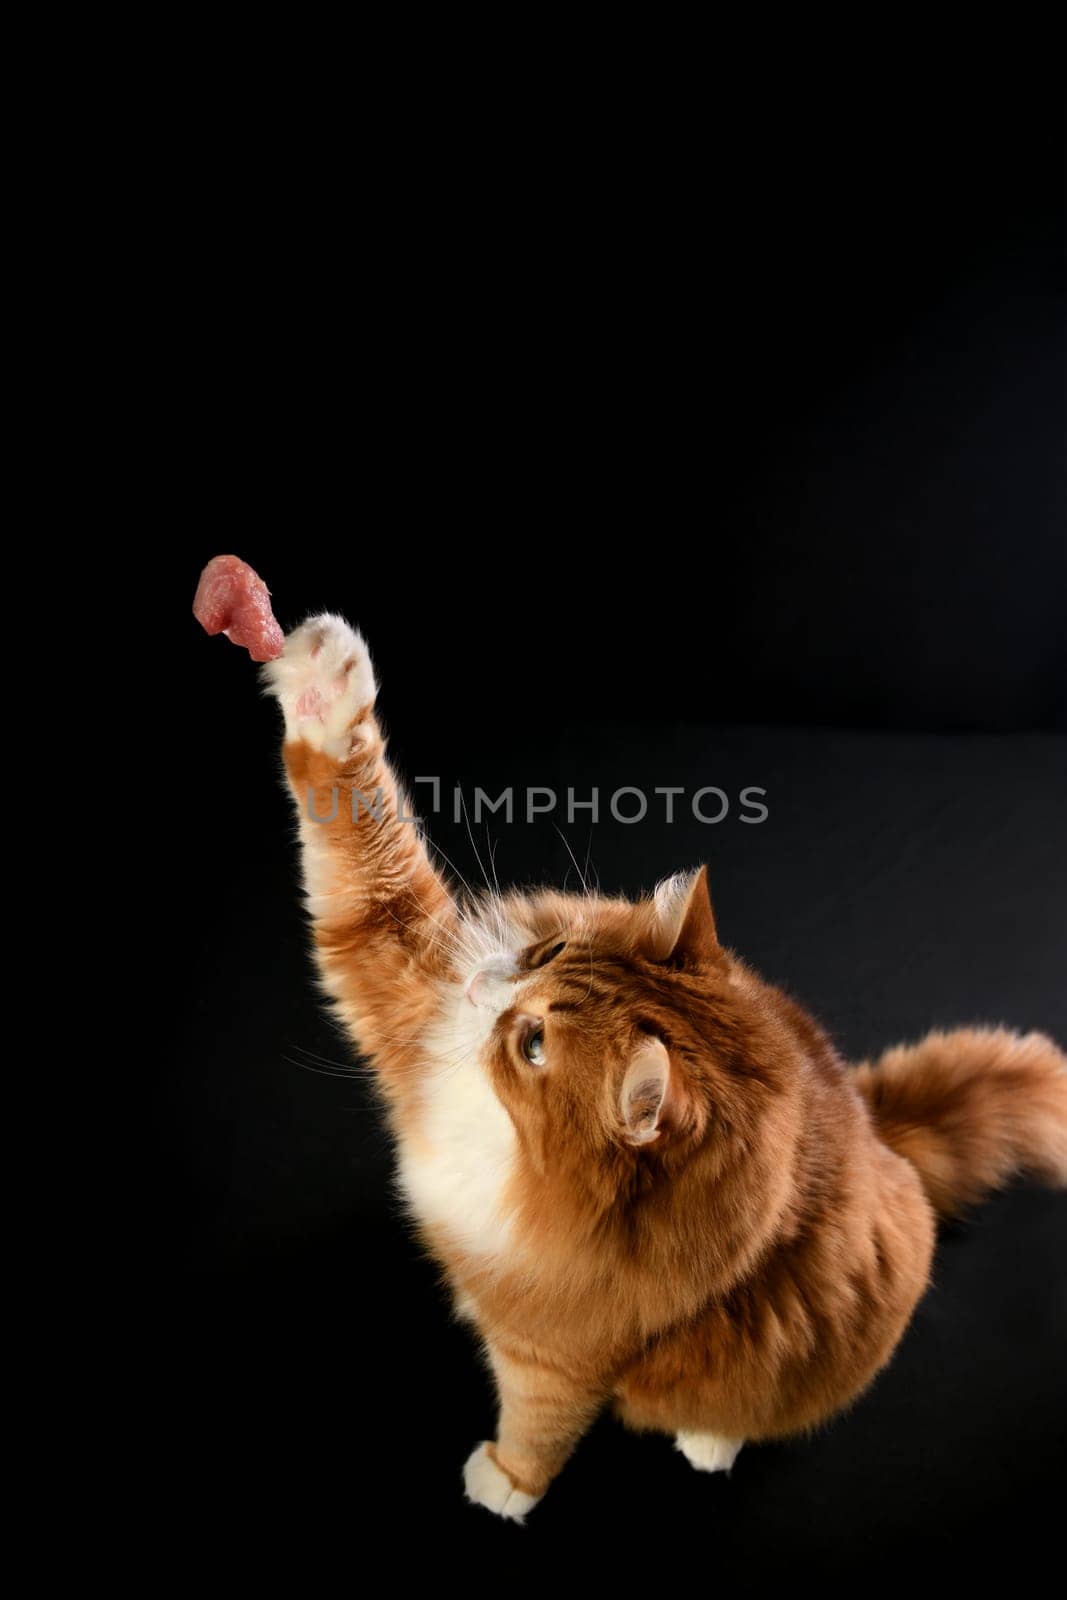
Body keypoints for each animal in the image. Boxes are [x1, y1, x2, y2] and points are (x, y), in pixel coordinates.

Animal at [259, 611, 1067, 1523]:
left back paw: (709, 1442)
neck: (514, 1152)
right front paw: (324, 689)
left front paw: (505, 1483)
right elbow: (359, 846)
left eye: (532, 1045)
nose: (478, 987)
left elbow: (540, 1425)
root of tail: (883, 1140)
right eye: (548, 951)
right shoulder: (405, 985)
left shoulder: (564, 1354)